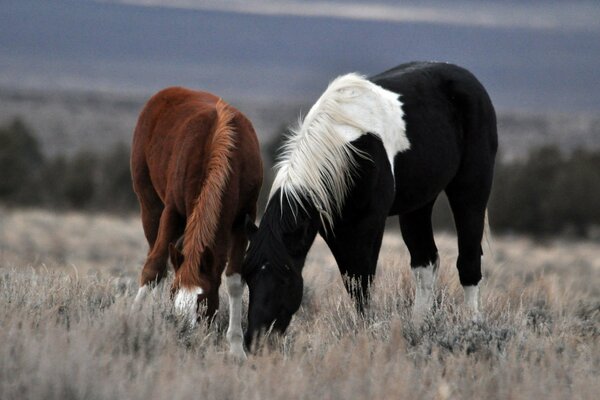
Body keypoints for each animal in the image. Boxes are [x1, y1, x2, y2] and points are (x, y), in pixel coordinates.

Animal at [131, 86, 262, 356]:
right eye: (174, 294)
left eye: (203, 299)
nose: (184, 334)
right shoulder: (172, 211)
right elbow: (153, 267)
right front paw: (134, 319)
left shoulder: (243, 218)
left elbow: (234, 279)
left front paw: (236, 347)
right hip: (150, 207)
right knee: (157, 259)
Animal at [243, 61, 496, 346]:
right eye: (247, 276)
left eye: (285, 277)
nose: (254, 340)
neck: (346, 148)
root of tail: (467, 77)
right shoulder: (336, 229)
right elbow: (352, 282)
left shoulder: (368, 224)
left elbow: (362, 281)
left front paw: (365, 333)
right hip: (418, 205)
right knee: (425, 263)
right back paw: (418, 328)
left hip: (471, 189)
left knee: (469, 262)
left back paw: (473, 329)